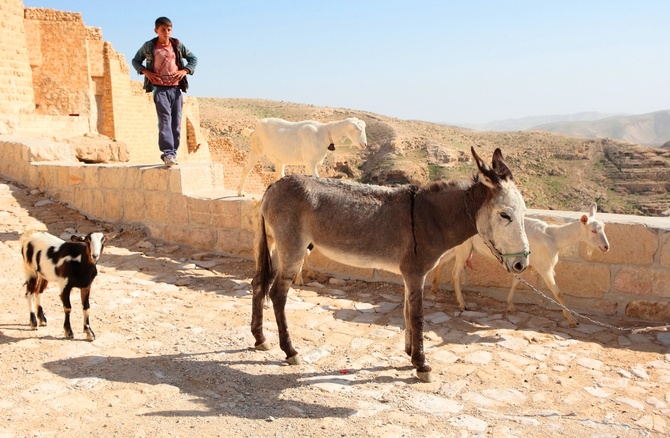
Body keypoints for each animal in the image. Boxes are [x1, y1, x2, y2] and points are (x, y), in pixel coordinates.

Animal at [239, 118, 370, 197]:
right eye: (357, 130)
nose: (364, 144)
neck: (324, 133)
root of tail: (254, 131)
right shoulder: (311, 162)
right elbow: (316, 178)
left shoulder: (309, 162)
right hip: (257, 149)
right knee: (246, 169)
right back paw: (240, 193)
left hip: (278, 159)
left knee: (279, 175)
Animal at [434, 203, 612, 326]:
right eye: (593, 231)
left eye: (603, 228)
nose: (606, 247)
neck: (553, 237)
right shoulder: (545, 267)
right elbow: (558, 293)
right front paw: (572, 319)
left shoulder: (523, 263)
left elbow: (515, 282)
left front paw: (510, 306)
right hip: (464, 247)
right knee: (455, 273)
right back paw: (462, 303)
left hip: (460, 247)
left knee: (442, 260)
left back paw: (435, 287)